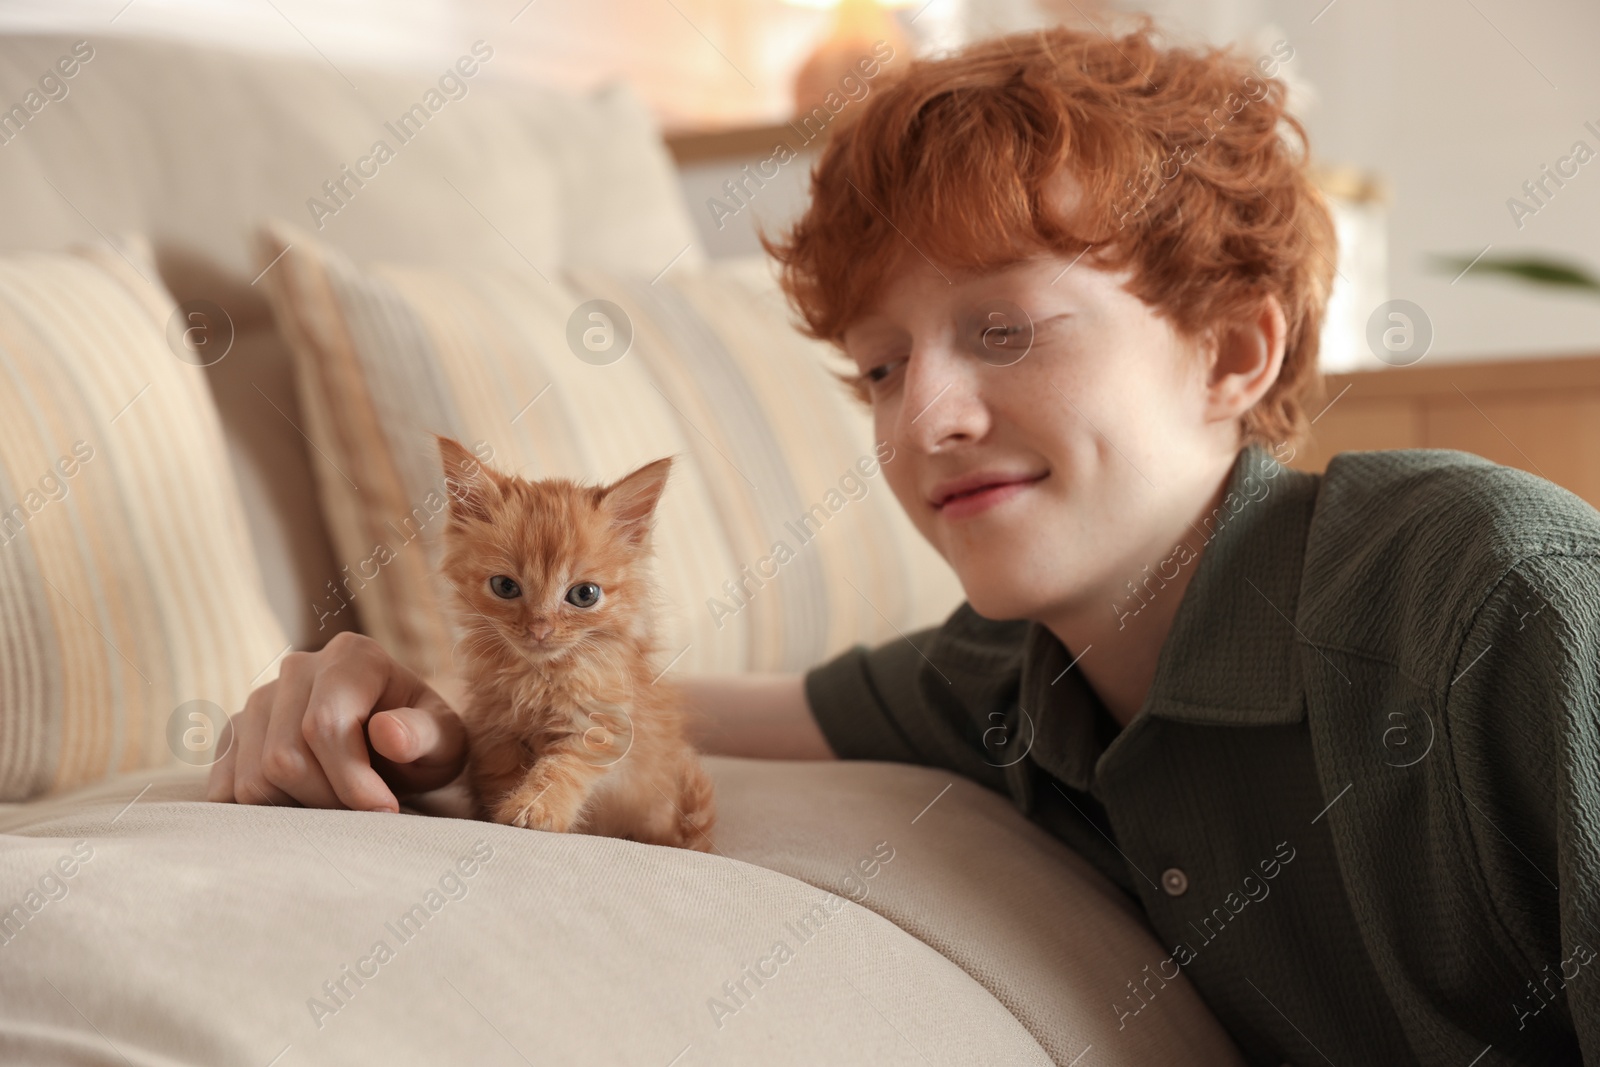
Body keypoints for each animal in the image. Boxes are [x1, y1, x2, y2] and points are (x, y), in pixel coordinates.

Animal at [438, 435, 713, 851]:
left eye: (585, 594)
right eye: (505, 587)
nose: (539, 628)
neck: (539, 677)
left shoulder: (603, 725)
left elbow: (560, 768)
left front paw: (535, 808)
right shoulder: (495, 730)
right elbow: (501, 772)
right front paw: (502, 808)